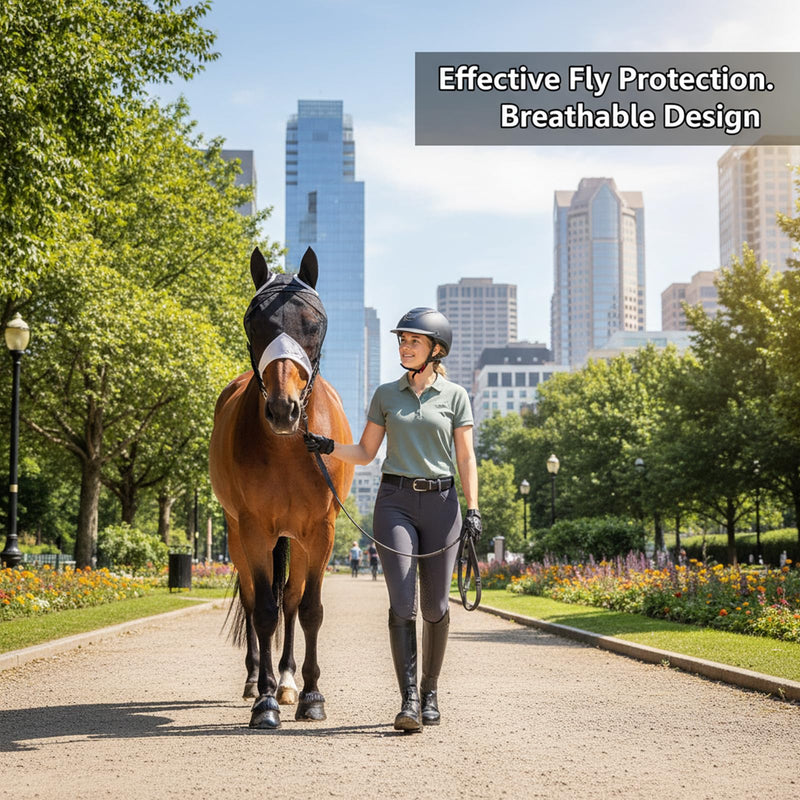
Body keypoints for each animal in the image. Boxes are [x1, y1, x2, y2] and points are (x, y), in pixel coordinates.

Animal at [209, 246, 353, 729]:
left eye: (313, 323)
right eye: (255, 323)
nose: (283, 408)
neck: (289, 448)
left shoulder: (321, 531)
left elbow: (308, 609)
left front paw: (310, 694)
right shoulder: (254, 529)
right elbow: (264, 611)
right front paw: (265, 700)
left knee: (289, 600)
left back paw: (288, 680)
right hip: (237, 533)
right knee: (256, 601)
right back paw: (258, 680)